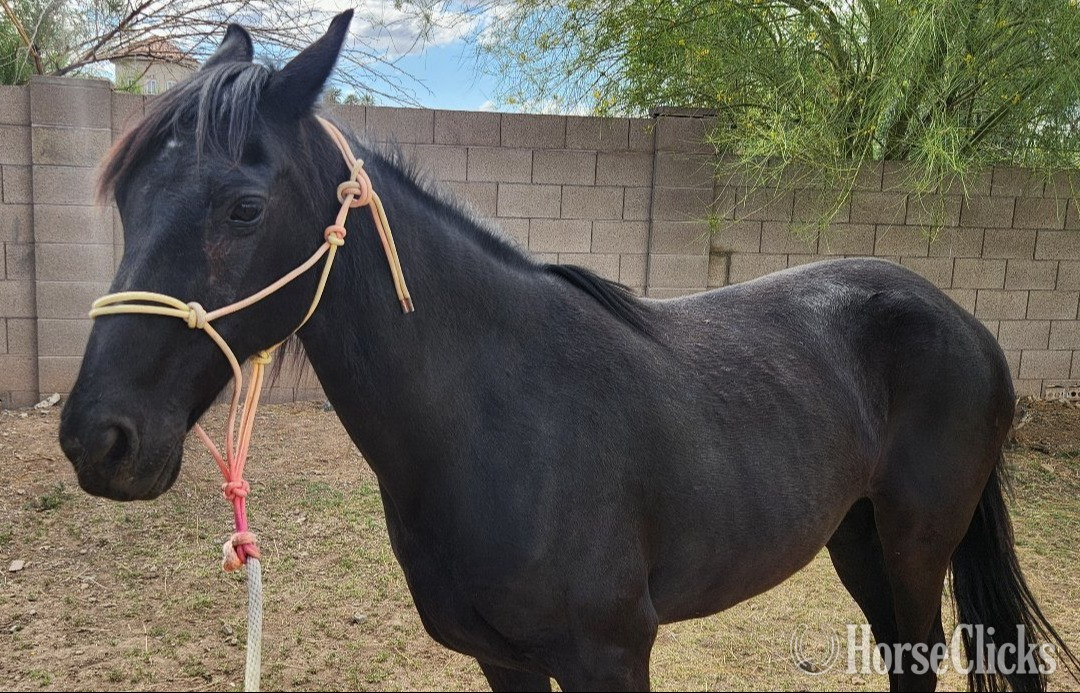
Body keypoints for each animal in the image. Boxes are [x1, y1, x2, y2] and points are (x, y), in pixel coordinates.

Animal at [58, 11, 1077, 692]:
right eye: (127, 198)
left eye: (244, 208)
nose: (97, 440)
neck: (501, 423)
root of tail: (960, 319)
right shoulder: (501, 659)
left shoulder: (610, 656)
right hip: (856, 536)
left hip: (916, 541)